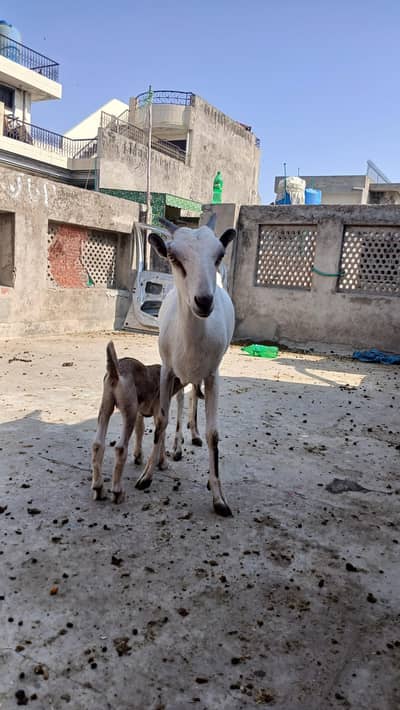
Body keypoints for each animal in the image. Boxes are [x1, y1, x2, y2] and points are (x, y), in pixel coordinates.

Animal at [91, 341, 183, 503]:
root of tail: (116, 371)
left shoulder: (141, 412)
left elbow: (141, 430)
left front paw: (139, 456)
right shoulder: (159, 412)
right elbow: (161, 436)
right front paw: (163, 463)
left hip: (106, 407)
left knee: (97, 444)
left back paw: (99, 488)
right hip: (129, 412)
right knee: (120, 448)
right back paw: (117, 491)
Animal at [135, 214, 236, 516]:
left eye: (219, 254)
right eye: (173, 256)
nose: (203, 301)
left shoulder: (213, 375)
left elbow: (214, 433)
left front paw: (218, 497)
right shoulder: (167, 370)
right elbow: (161, 420)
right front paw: (146, 475)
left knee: (192, 397)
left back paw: (192, 435)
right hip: (178, 374)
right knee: (181, 400)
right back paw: (177, 446)